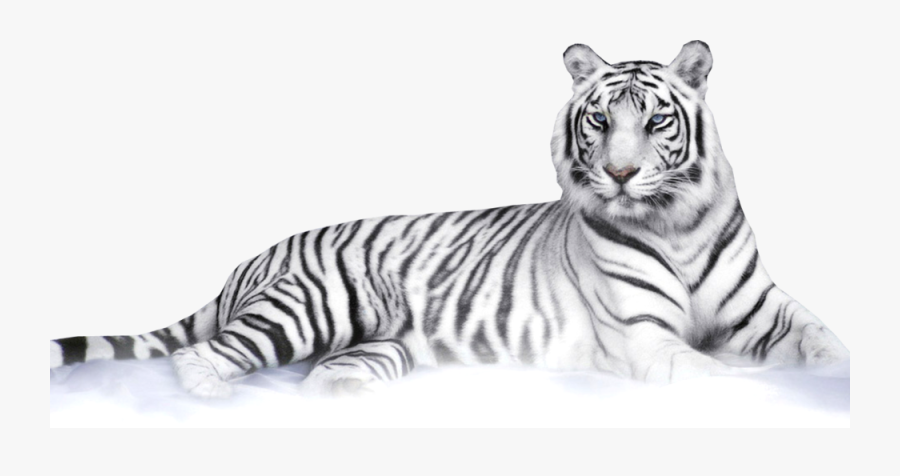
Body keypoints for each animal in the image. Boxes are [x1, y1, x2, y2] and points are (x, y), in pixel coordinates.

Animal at [49, 41, 851, 398]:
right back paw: (216, 397)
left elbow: (826, 342)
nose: (622, 174)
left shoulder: (766, 310)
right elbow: (717, 375)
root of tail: (247, 259)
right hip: (309, 308)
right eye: (600, 121)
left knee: (321, 376)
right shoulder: (645, 336)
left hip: (376, 348)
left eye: (656, 121)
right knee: (198, 357)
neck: (675, 225)